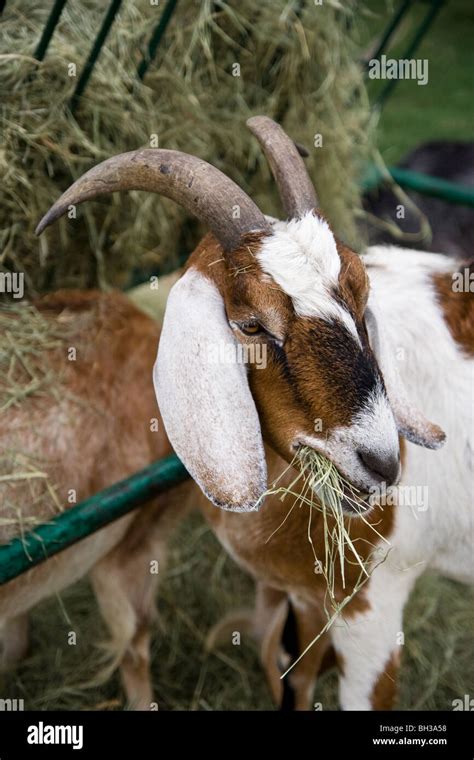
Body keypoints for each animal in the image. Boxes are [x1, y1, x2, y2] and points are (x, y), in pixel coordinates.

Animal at [2, 116, 470, 708]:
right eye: (250, 324)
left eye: (362, 299)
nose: (385, 463)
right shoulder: (308, 600)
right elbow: (297, 680)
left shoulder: (374, 610)